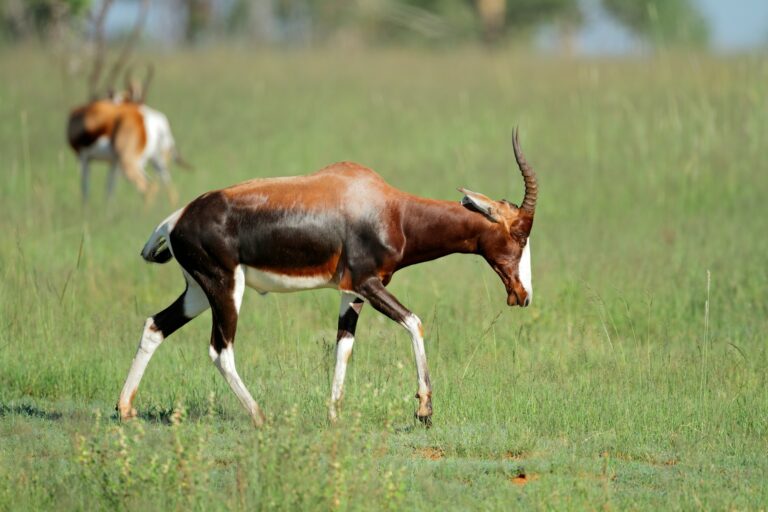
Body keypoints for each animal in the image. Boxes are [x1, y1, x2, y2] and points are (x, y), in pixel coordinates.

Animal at [66, 0, 189, 206]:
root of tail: (155, 122)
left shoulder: (84, 158)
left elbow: (86, 192)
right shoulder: (112, 163)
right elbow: (109, 192)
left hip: (130, 162)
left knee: (149, 187)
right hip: (157, 160)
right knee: (170, 189)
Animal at [118, 130, 540, 426]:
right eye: (519, 234)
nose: (523, 295)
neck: (389, 207)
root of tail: (175, 219)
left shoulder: (351, 292)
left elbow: (344, 348)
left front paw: (334, 416)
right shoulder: (369, 283)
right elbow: (415, 322)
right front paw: (423, 409)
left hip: (197, 291)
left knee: (155, 326)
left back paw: (124, 409)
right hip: (225, 289)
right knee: (220, 351)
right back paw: (259, 417)